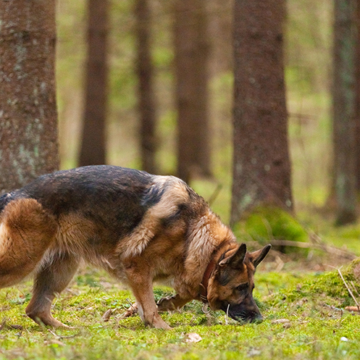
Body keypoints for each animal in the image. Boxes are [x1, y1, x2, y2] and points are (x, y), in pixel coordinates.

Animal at [0, 166, 270, 330]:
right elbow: (150, 306)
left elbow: (178, 296)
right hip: (23, 260)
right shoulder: (137, 268)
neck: (194, 232)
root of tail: (16, 192)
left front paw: (160, 305)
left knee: (35, 309)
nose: (259, 318)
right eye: (240, 288)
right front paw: (161, 326)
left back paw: (69, 330)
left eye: (251, 288)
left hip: (60, 270)